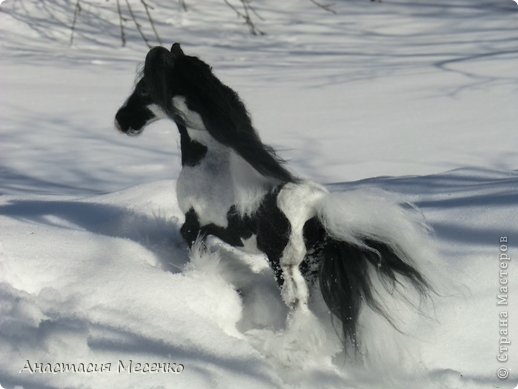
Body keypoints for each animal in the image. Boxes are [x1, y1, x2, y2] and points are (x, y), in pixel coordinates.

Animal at [116, 42, 436, 354]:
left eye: (144, 87)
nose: (121, 121)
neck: (212, 162)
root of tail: (318, 209)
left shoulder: (194, 227)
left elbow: (197, 258)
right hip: (310, 266)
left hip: (285, 268)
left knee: (300, 311)